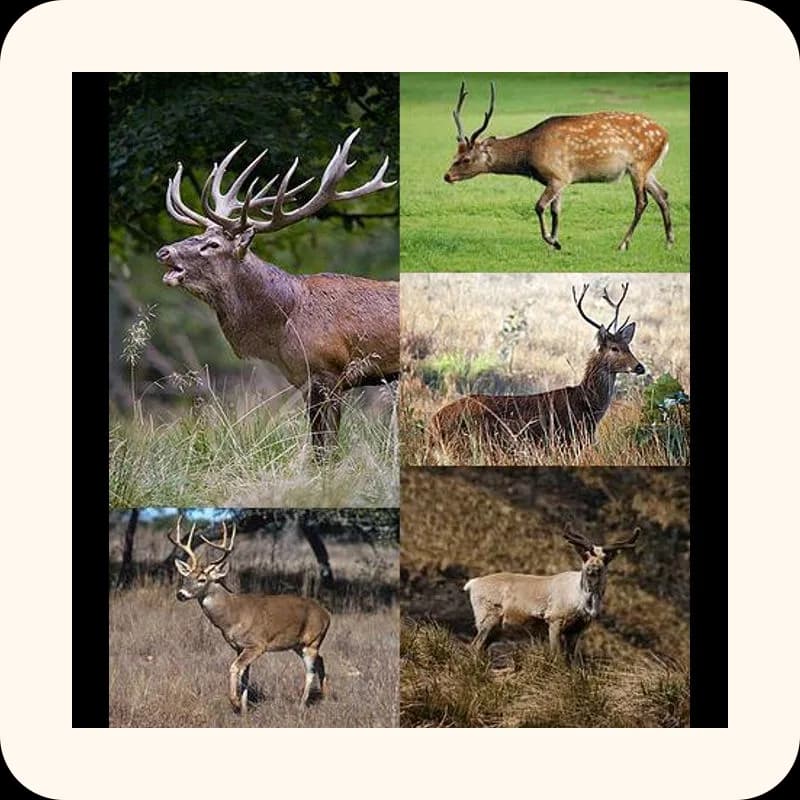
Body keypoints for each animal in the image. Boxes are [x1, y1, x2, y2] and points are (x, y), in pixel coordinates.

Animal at [155, 130, 399, 458]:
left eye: (213, 245)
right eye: (200, 236)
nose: (164, 251)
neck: (283, 322)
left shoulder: (330, 372)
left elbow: (327, 447)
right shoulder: (306, 381)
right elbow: (320, 443)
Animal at [169, 517, 331, 713]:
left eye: (202, 579)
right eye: (186, 578)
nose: (181, 594)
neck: (232, 616)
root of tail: (327, 615)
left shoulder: (257, 644)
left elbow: (234, 668)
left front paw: (235, 702)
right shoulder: (239, 647)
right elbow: (245, 676)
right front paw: (245, 709)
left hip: (312, 641)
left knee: (310, 671)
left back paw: (301, 705)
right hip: (299, 644)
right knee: (321, 661)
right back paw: (325, 697)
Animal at [427, 282, 645, 461]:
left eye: (628, 346)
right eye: (614, 348)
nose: (639, 367)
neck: (586, 406)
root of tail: (433, 424)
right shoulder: (564, 443)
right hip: (465, 447)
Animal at [444, 81, 674, 252]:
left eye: (466, 159)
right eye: (455, 154)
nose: (447, 176)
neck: (530, 155)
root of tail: (665, 135)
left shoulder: (558, 175)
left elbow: (539, 206)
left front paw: (553, 242)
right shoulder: (560, 180)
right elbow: (556, 211)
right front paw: (554, 243)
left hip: (639, 165)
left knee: (642, 202)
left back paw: (623, 244)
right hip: (648, 169)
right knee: (663, 194)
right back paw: (669, 242)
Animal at [464, 525, 641, 664]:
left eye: (606, 558)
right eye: (584, 556)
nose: (593, 569)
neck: (580, 601)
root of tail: (472, 584)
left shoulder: (576, 630)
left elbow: (572, 661)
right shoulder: (555, 620)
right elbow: (557, 657)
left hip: (496, 628)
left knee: (481, 648)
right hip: (487, 618)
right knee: (475, 646)